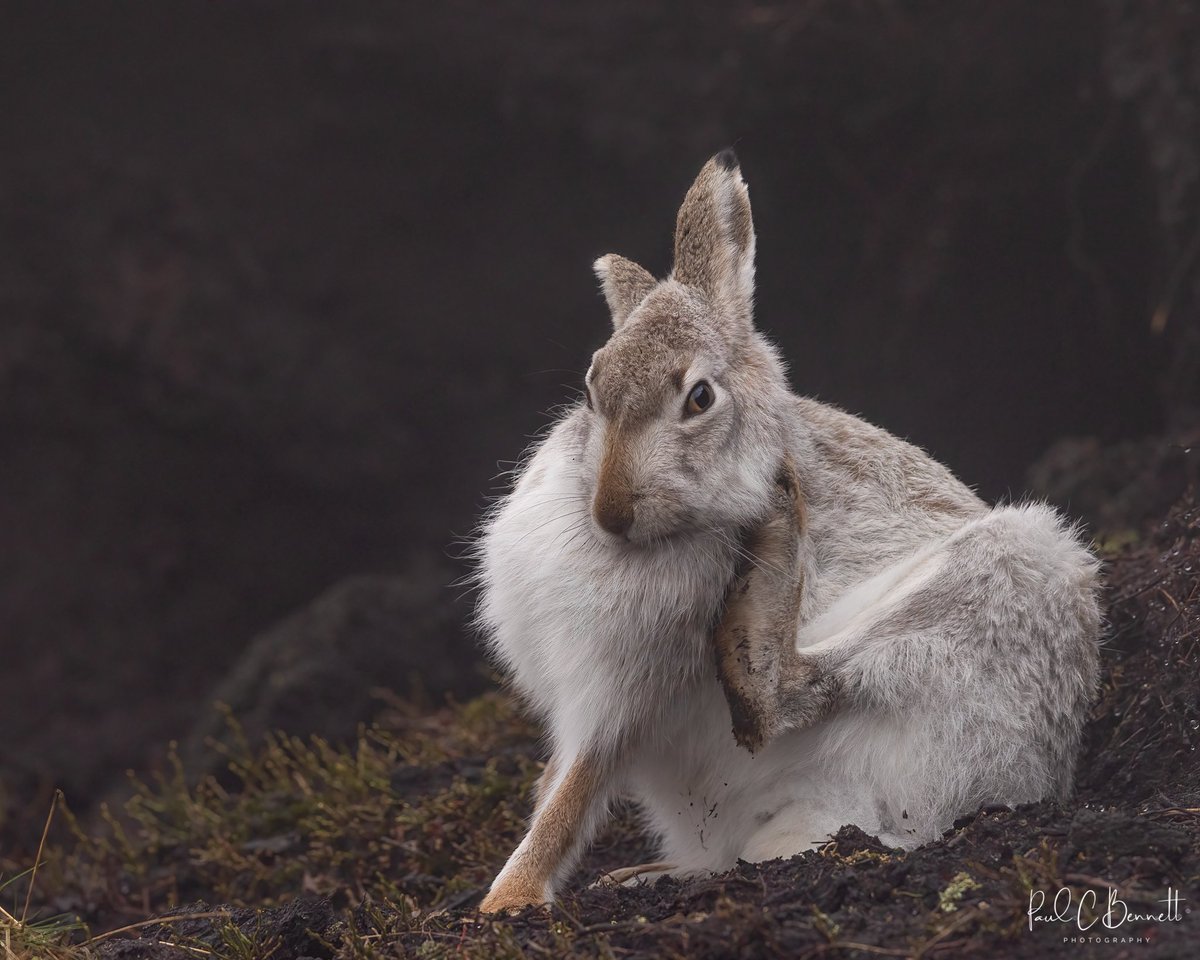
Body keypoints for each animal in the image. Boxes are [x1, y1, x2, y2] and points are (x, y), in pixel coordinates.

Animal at [473, 150, 1103, 914]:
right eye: (592, 389)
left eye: (700, 398)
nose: (611, 512)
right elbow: (553, 785)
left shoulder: (622, 691)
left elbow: (573, 794)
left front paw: (505, 903)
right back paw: (649, 874)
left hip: (1000, 575)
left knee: (787, 694)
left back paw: (773, 551)